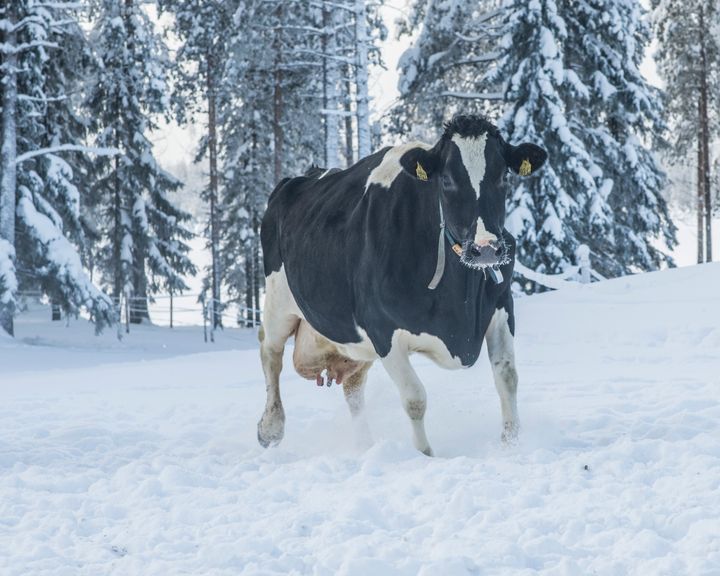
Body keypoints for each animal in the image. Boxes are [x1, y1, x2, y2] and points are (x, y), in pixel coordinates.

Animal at [258, 113, 544, 454]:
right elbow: (414, 398)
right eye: (446, 180)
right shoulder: (383, 330)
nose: (486, 248)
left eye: (503, 176)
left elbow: (508, 378)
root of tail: (302, 177)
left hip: (353, 344)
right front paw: (424, 455)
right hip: (278, 301)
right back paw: (270, 429)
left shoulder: (502, 308)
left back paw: (365, 445)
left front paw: (512, 444)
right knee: (270, 354)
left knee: (353, 388)